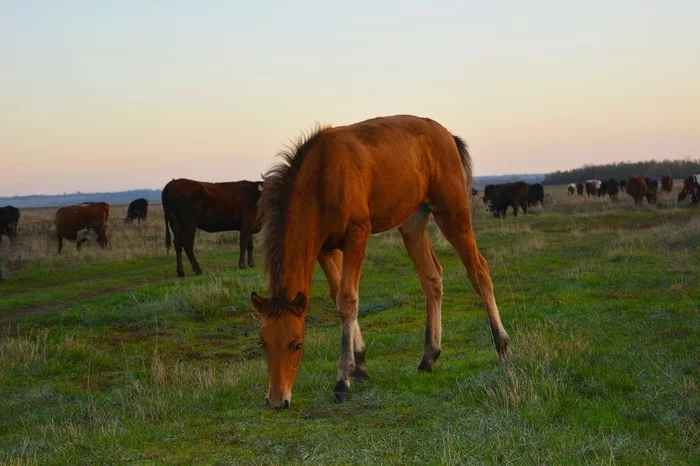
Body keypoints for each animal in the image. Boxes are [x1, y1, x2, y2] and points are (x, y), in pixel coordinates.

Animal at [250, 114, 508, 410]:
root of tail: (448, 136)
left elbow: (347, 299)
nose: (276, 400)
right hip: (413, 224)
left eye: (297, 344)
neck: (322, 176)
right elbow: (337, 294)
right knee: (432, 277)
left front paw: (343, 381)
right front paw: (360, 364)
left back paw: (502, 346)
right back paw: (429, 357)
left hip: (452, 212)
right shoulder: (324, 249)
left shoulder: (357, 235)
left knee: (478, 270)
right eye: (262, 343)